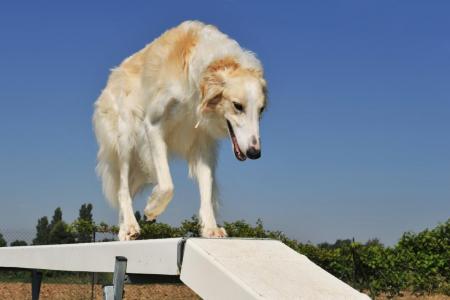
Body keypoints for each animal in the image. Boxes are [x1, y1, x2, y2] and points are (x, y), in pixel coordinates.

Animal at [92, 20, 266, 241]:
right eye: (237, 106)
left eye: (261, 109)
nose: (255, 153)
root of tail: (115, 73)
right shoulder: (152, 125)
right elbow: (167, 185)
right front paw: (152, 207)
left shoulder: (202, 144)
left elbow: (207, 189)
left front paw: (210, 227)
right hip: (126, 140)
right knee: (122, 190)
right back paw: (130, 226)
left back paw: (125, 228)